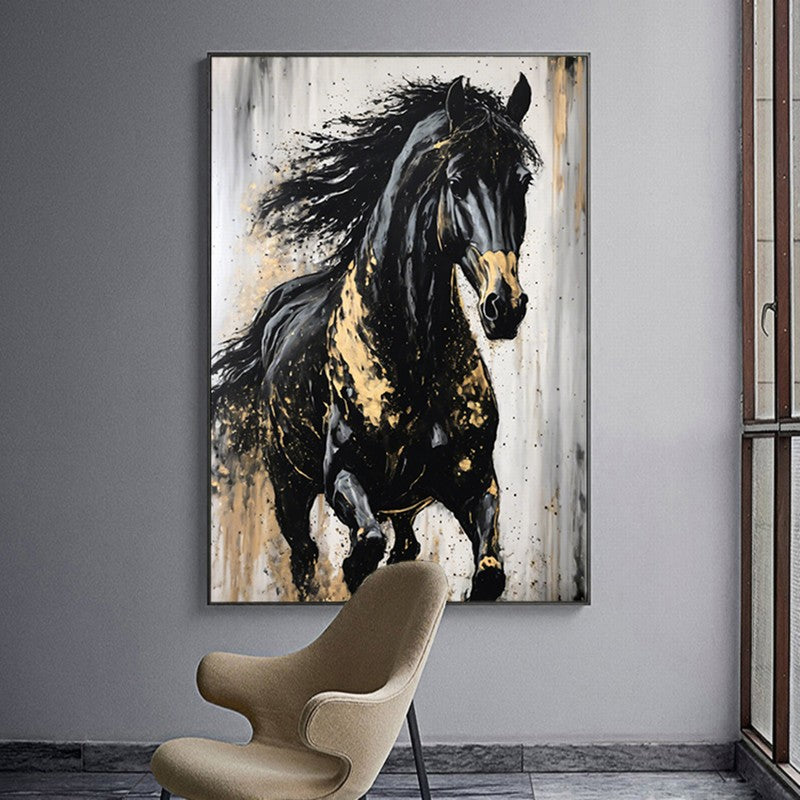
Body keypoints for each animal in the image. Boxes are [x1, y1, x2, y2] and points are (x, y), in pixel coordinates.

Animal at [211, 74, 540, 601]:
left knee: (404, 548)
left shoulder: (475, 483)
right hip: (289, 489)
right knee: (306, 556)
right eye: (457, 181)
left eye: (523, 180)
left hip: (403, 508)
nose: (504, 306)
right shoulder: (344, 477)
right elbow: (363, 548)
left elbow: (489, 572)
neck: (412, 355)